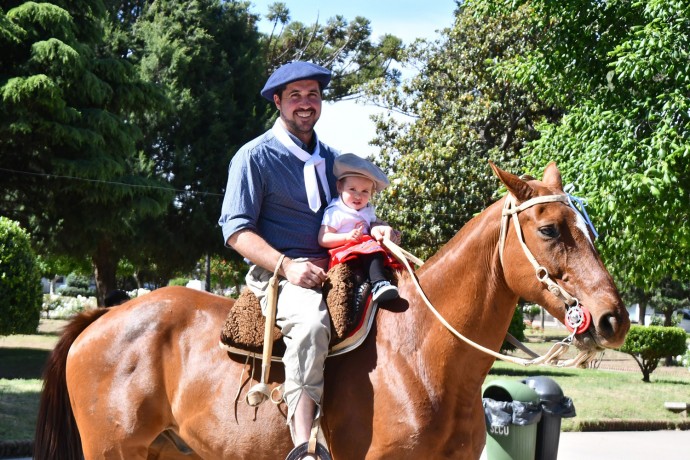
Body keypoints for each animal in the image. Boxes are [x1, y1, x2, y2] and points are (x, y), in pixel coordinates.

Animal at [33, 164, 628, 458]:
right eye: (549, 229)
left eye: (589, 228)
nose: (613, 319)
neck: (423, 355)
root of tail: (100, 318)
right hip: (113, 450)